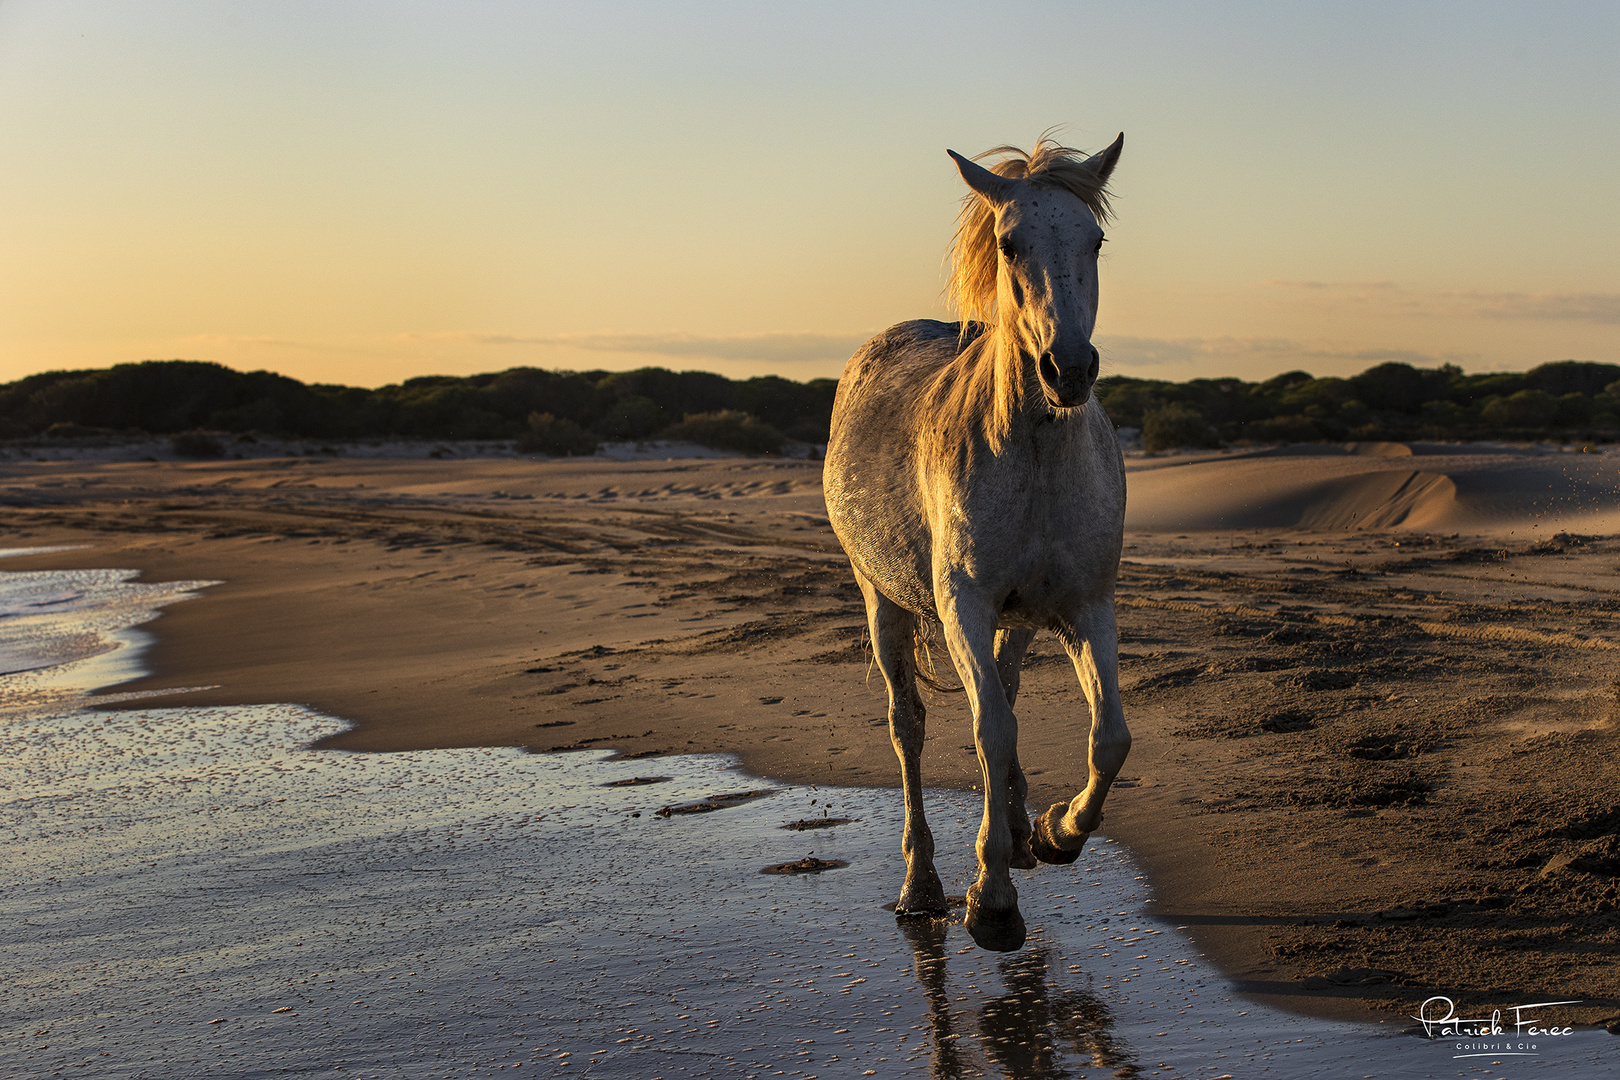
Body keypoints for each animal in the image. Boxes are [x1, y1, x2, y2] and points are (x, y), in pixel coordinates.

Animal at [822, 131, 1127, 952]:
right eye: (1008, 243)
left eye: (1095, 240)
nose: (1069, 369)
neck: (1036, 455)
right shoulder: (965, 604)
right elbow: (989, 730)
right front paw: (989, 902)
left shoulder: (1086, 607)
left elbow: (1108, 736)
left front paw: (1057, 833)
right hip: (884, 603)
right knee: (911, 728)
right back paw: (922, 885)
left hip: (1019, 621)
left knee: (1011, 695)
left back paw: (1020, 834)